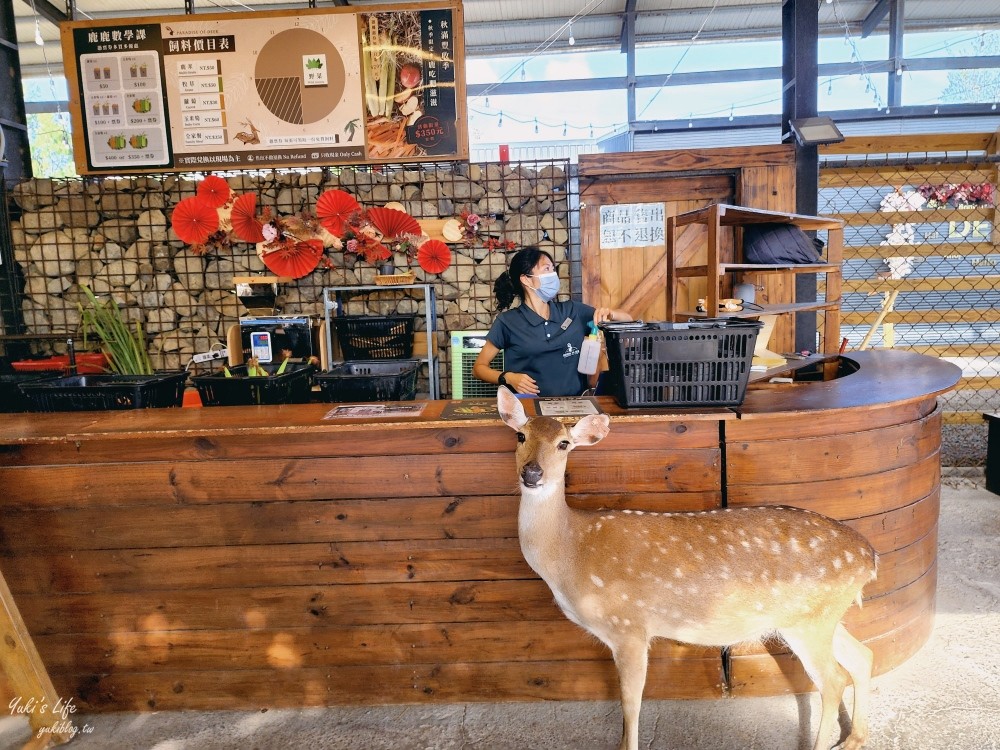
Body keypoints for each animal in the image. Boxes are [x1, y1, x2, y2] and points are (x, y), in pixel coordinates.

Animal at [498, 388, 876, 750]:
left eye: (564, 444)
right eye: (520, 435)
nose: (532, 473)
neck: (571, 552)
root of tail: (870, 557)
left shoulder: (629, 627)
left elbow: (630, 706)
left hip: (807, 620)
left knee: (834, 681)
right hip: (823, 616)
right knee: (862, 656)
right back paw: (855, 739)